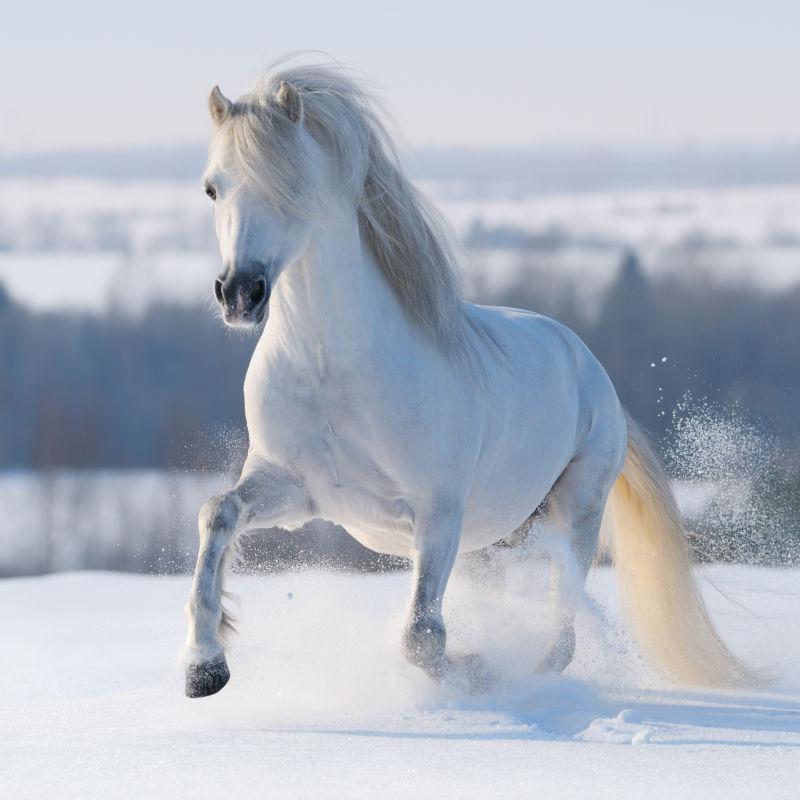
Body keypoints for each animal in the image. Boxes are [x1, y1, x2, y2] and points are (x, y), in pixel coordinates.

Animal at [183, 62, 752, 696]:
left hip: (573, 514)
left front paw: (477, 673)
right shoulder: (296, 490)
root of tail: (591, 368)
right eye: (212, 188)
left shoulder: (438, 514)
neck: (331, 369)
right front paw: (204, 667)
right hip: (491, 542)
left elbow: (422, 636)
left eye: (291, 184)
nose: (239, 293)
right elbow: (217, 513)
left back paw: (529, 680)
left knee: (564, 628)